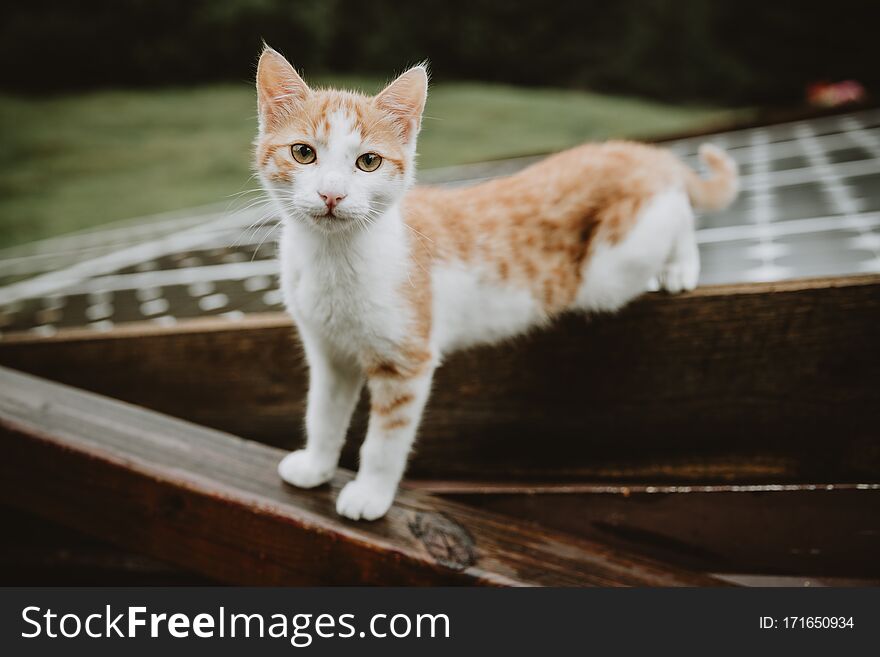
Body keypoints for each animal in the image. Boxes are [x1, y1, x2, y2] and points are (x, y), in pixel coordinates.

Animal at [256, 44, 744, 516]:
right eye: (303, 153)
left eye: (368, 161)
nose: (331, 194)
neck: (331, 258)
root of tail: (635, 150)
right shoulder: (328, 354)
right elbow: (323, 414)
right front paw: (316, 466)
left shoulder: (407, 360)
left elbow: (386, 441)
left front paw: (371, 494)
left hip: (614, 266)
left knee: (677, 206)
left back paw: (681, 266)